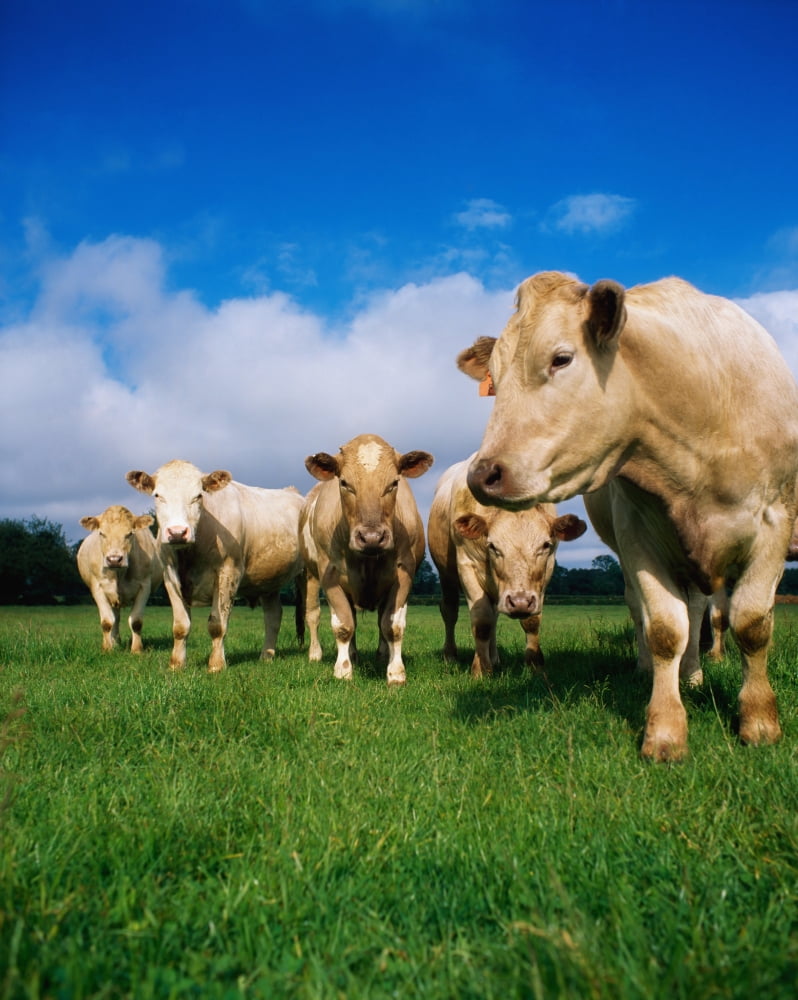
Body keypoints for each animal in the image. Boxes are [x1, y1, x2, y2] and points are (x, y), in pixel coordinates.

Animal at [77, 505, 163, 653]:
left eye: (130, 533)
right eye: (101, 533)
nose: (114, 559)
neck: (119, 574)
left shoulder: (144, 586)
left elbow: (136, 621)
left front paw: (137, 649)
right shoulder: (98, 588)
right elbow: (107, 622)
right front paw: (107, 649)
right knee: (114, 619)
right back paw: (114, 643)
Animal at [126, 460, 304, 672]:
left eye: (198, 495)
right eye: (157, 495)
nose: (177, 532)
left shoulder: (228, 571)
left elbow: (217, 625)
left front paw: (216, 665)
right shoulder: (169, 575)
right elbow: (180, 626)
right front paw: (177, 664)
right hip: (268, 580)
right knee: (273, 616)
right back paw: (266, 656)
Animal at [300, 434, 433, 685]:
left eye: (394, 483)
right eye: (344, 483)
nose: (371, 537)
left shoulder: (404, 573)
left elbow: (392, 626)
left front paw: (395, 672)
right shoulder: (329, 573)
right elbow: (343, 625)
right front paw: (343, 670)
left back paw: (378, 654)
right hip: (311, 574)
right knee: (313, 614)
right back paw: (317, 654)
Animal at [427, 455, 587, 677]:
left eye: (545, 545)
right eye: (493, 546)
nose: (519, 602)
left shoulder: (545, 571)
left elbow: (530, 621)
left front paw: (535, 666)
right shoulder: (467, 565)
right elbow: (481, 621)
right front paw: (481, 670)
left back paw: (494, 658)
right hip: (446, 576)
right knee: (450, 611)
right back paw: (451, 655)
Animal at [458, 270, 798, 761]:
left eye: (561, 359)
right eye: (495, 381)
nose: (483, 474)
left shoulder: (774, 524)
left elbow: (751, 625)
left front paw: (759, 722)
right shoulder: (639, 534)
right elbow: (665, 630)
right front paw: (666, 730)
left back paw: (694, 674)